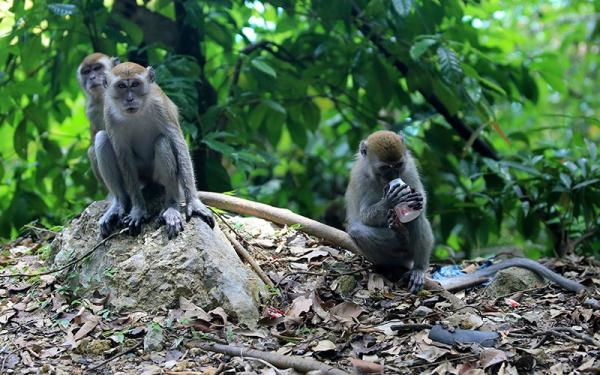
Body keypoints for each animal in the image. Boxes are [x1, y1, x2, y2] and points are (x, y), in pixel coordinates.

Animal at [344, 131, 434, 292]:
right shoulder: (360, 179)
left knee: (417, 219)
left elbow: (421, 200)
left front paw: (416, 198)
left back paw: (418, 268)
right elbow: (365, 216)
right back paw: (400, 238)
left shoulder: (409, 168)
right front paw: (390, 200)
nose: (393, 177)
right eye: (385, 167)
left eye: (398, 165)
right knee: (356, 230)